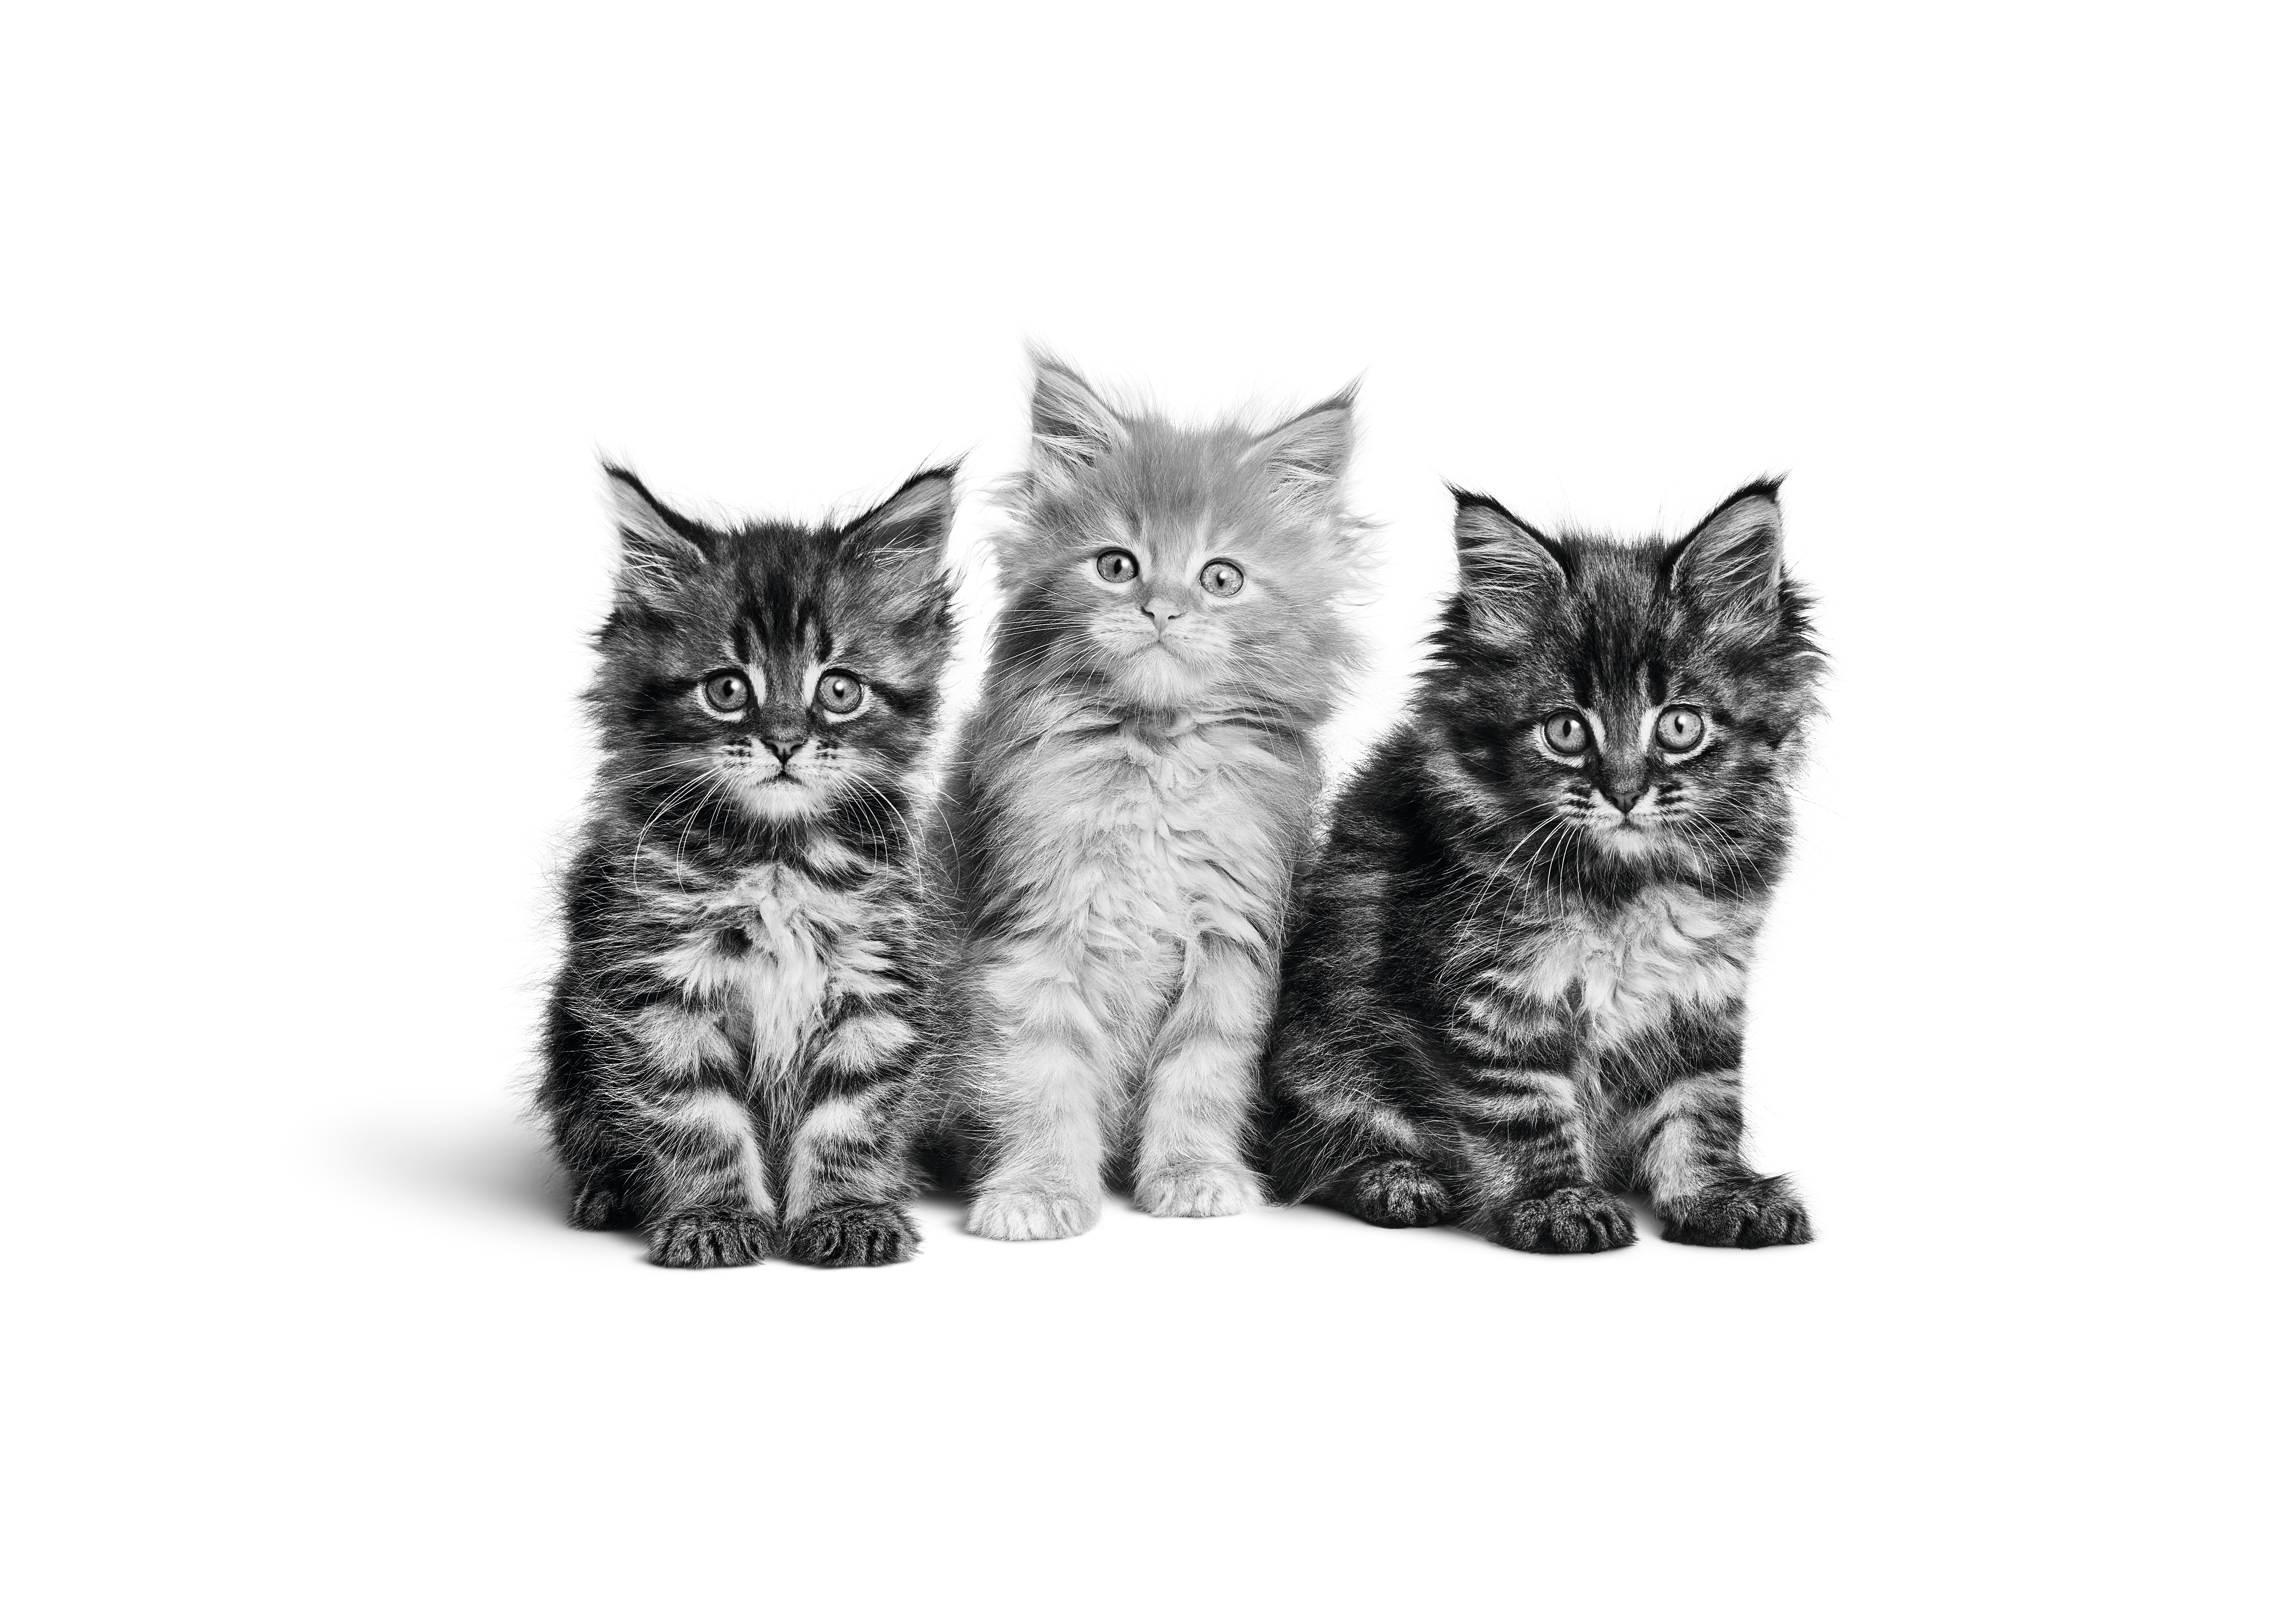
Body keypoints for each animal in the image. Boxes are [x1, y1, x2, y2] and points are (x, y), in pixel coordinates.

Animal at [542, 464, 955, 1268]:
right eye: (728, 690)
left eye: (839, 689)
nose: (786, 742)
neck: (776, 856)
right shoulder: (660, 985)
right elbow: (697, 1117)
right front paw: (716, 1216)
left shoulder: (872, 983)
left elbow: (851, 1116)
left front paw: (850, 1211)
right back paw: (606, 1193)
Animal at [941, 356, 1368, 1240]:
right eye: (1116, 566)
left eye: (1221, 578)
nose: (1162, 609)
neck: (1156, 758)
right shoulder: (1033, 929)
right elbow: (1039, 1072)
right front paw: (1038, 1188)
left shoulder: (1233, 936)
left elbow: (1203, 1072)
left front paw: (1193, 1174)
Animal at [1267, 475, 1818, 1250]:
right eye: (1564, 731)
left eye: (1679, 726)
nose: (1623, 792)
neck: (1625, 884)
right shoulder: (1490, 996)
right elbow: (1523, 1109)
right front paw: (1557, 1203)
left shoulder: (1700, 992)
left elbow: (1700, 1104)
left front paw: (1716, 1194)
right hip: (1325, 1047)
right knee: (1318, 1146)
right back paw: (1398, 1181)